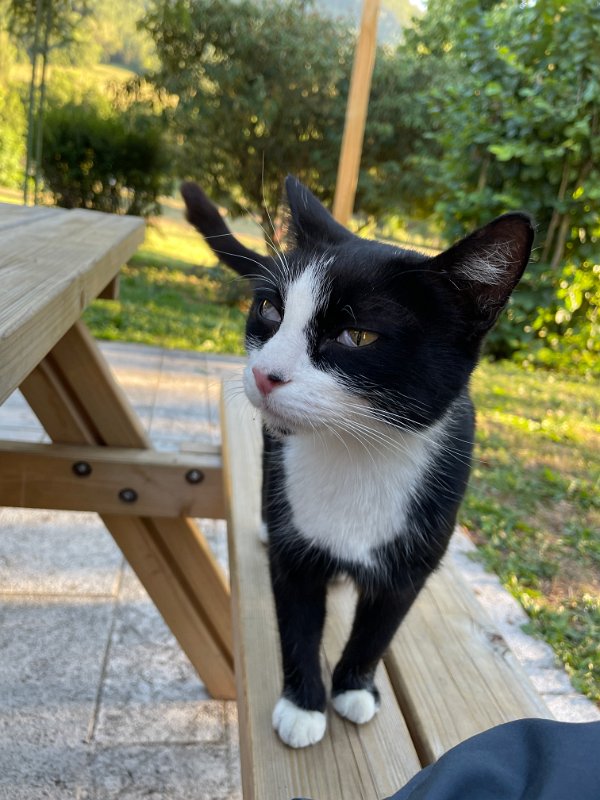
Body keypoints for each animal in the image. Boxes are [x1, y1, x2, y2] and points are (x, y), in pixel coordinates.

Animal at [181, 176, 534, 749]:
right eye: (271, 309)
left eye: (358, 336)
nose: (264, 374)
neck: (355, 452)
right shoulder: (298, 559)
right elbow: (298, 620)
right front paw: (303, 705)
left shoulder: (414, 557)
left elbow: (379, 627)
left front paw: (353, 687)